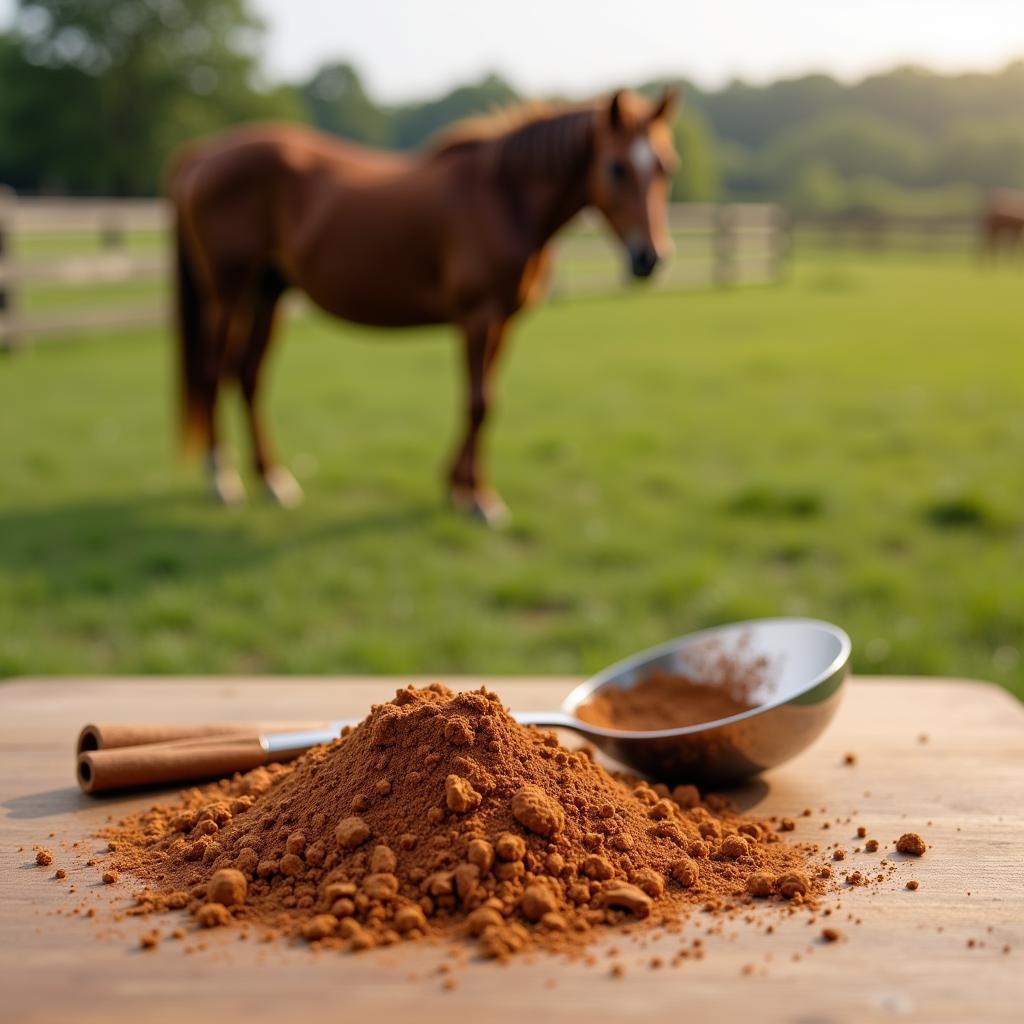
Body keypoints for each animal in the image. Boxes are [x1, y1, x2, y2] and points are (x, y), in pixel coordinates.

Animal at [171, 89, 675, 524]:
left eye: (667, 167)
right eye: (616, 168)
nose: (650, 258)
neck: (505, 195)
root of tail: (203, 154)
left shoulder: (503, 321)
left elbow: (486, 400)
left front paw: (458, 488)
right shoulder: (477, 317)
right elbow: (478, 403)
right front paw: (478, 499)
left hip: (267, 295)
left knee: (247, 378)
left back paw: (273, 481)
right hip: (227, 297)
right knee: (212, 375)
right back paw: (223, 482)